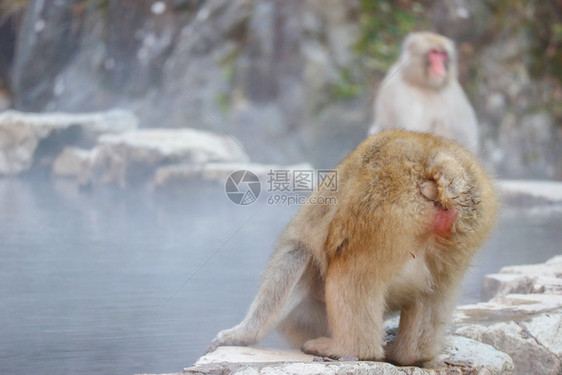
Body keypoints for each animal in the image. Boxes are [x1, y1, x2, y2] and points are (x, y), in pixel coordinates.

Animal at [209, 131, 494, 366]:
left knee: (349, 271)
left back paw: (349, 348)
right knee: (437, 290)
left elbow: (292, 261)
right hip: (464, 230)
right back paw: (411, 354)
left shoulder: (298, 248)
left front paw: (240, 335)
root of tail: (435, 161)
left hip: (377, 211)